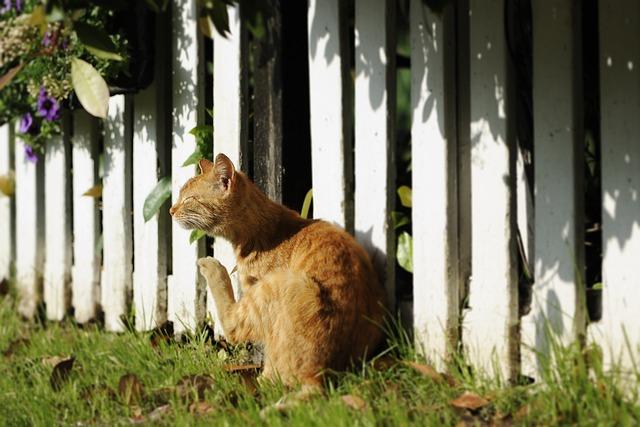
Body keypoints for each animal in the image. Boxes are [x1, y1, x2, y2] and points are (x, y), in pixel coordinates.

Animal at [169, 155, 384, 388]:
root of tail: (318, 377)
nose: (171, 210)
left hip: (274, 284)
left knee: (233, 327)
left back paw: (211, 266)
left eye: (189, 199)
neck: (261, 231)